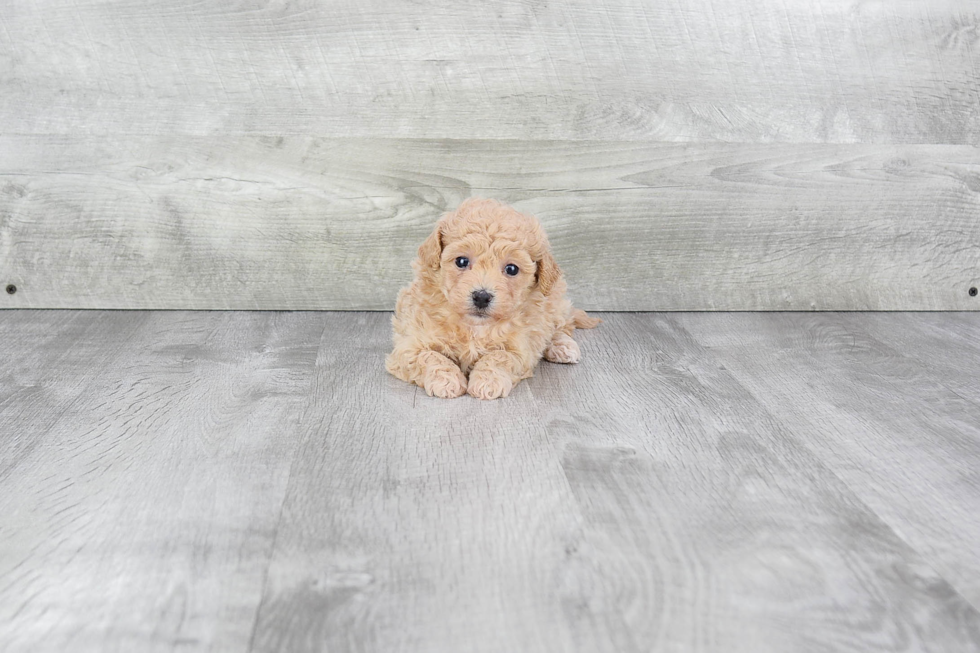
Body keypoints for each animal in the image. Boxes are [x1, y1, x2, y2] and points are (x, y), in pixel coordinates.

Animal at [386, 196, 600, 400]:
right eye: (461, 261)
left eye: (511, 269)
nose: (481, 296)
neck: (475, 326)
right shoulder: (409, 345)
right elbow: (430, 356)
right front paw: (446, 381)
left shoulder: (521, 349)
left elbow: (500, 356)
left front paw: (487, 381)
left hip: (554, 300)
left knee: (561, 326)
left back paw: (563, 346)